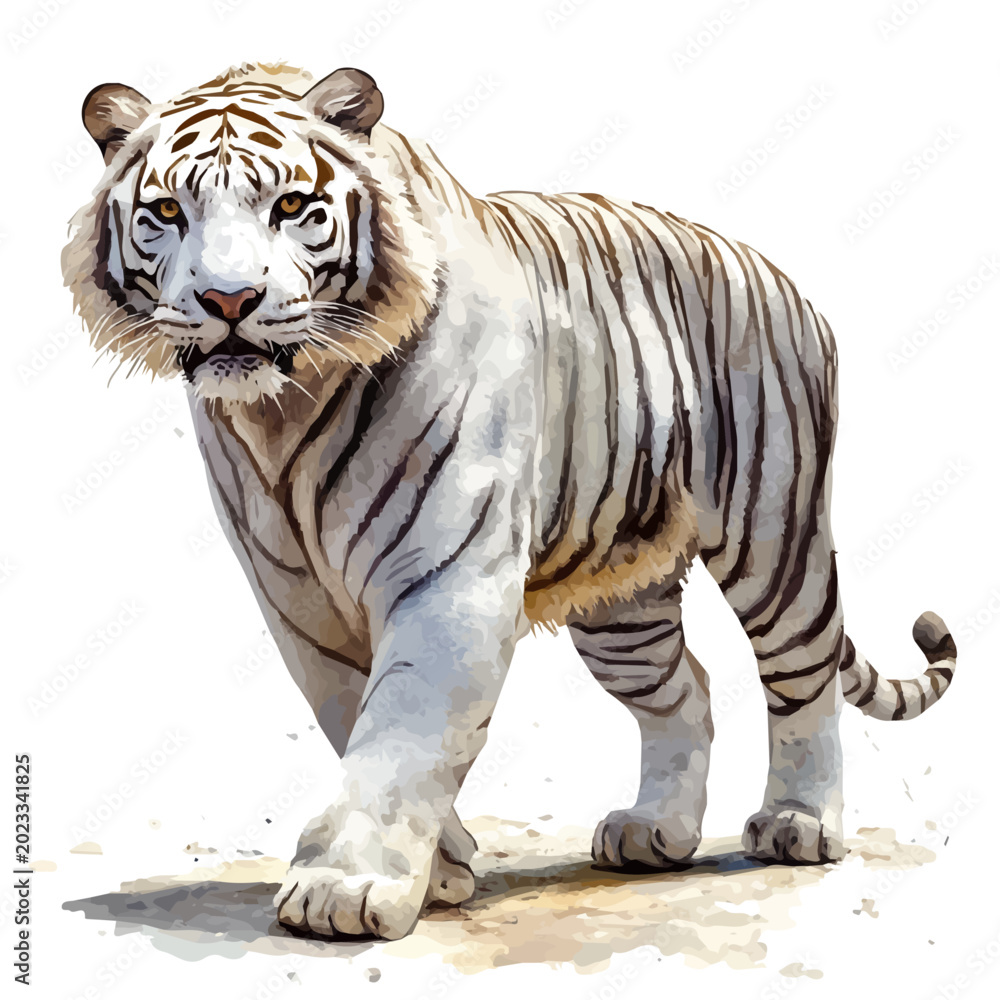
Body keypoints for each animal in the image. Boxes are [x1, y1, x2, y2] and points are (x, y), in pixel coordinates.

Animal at [64, 62, 958, 941]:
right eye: (167, 212)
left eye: (290, 206)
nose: (228, 301)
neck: (281, 414)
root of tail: (769, 268)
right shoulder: (297, 601)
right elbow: (356, 717)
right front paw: (442, 870)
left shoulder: (447, 577)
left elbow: (401, 727)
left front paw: (345, 888)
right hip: (622, 603)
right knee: (686, 690)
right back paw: (655, 833)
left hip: (772, 534)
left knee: (803, 675)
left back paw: (799, 824)